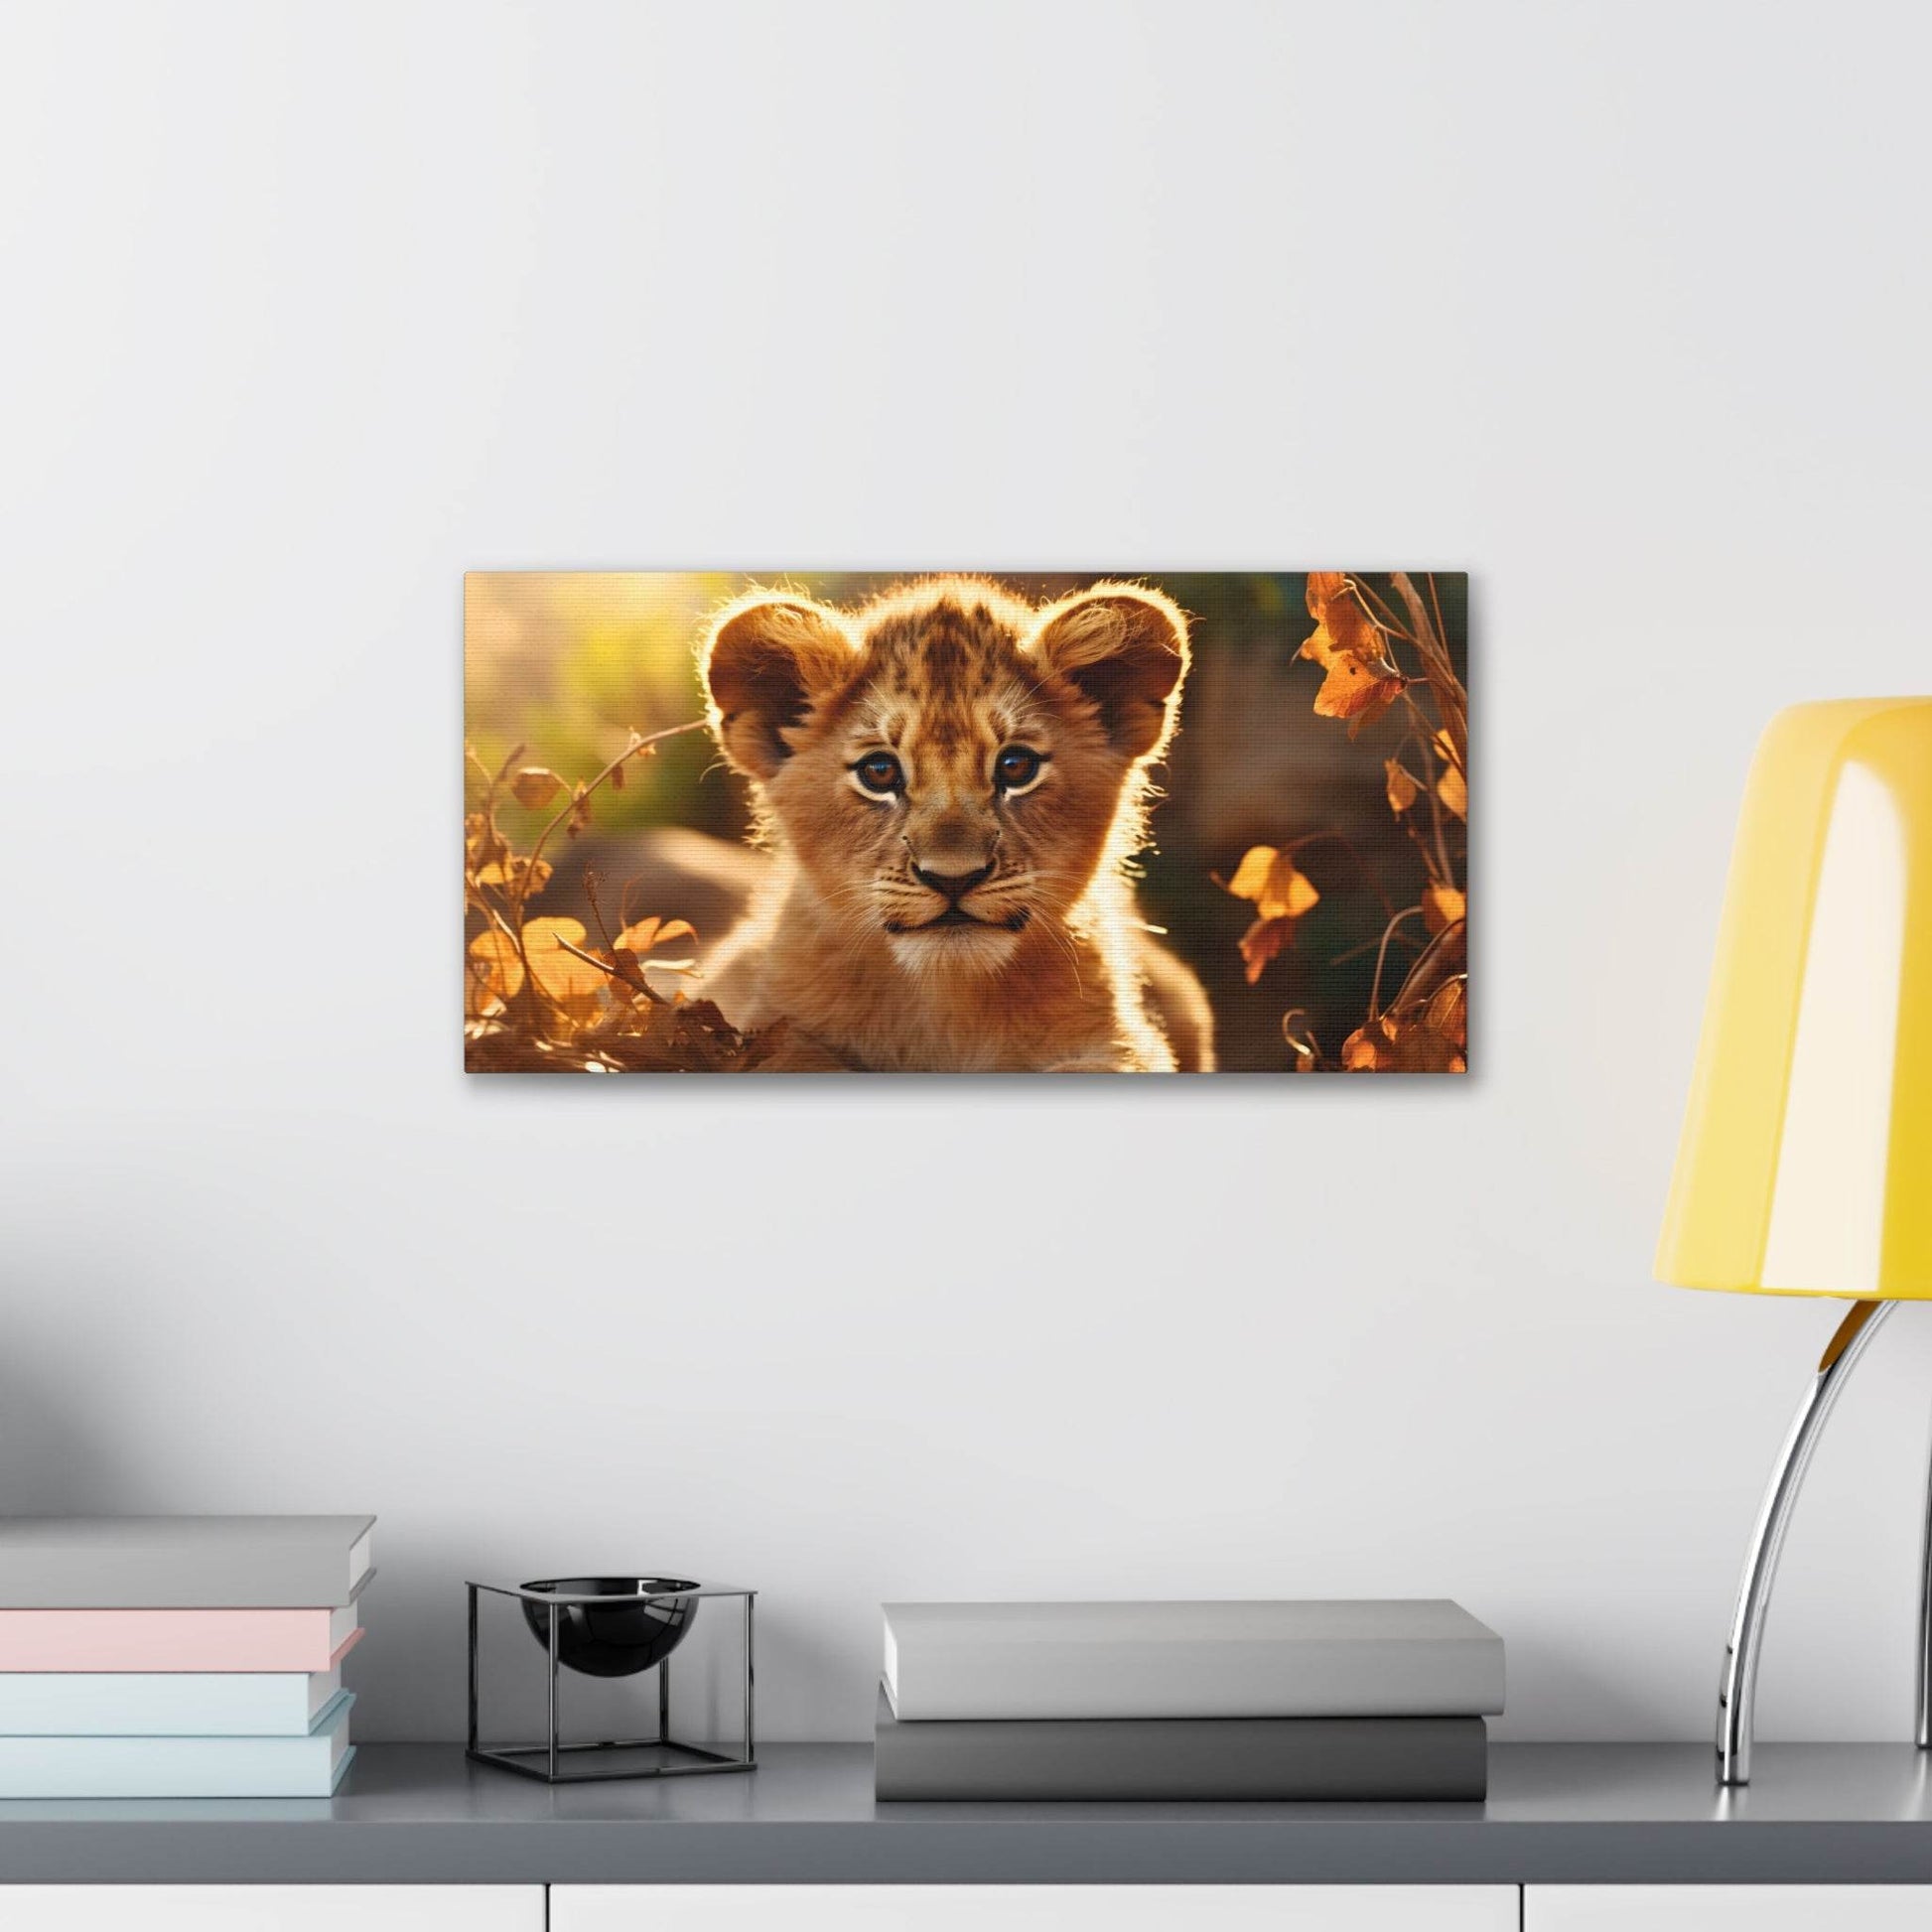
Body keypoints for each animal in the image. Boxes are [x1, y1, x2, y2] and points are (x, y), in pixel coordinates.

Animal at [694, 576, 1216, 1073]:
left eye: (1016, 767)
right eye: (878, 771)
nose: (953, 877)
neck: (946, 1006)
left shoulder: (1123, 1042)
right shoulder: (761, 1029)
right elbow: (802, 1058)